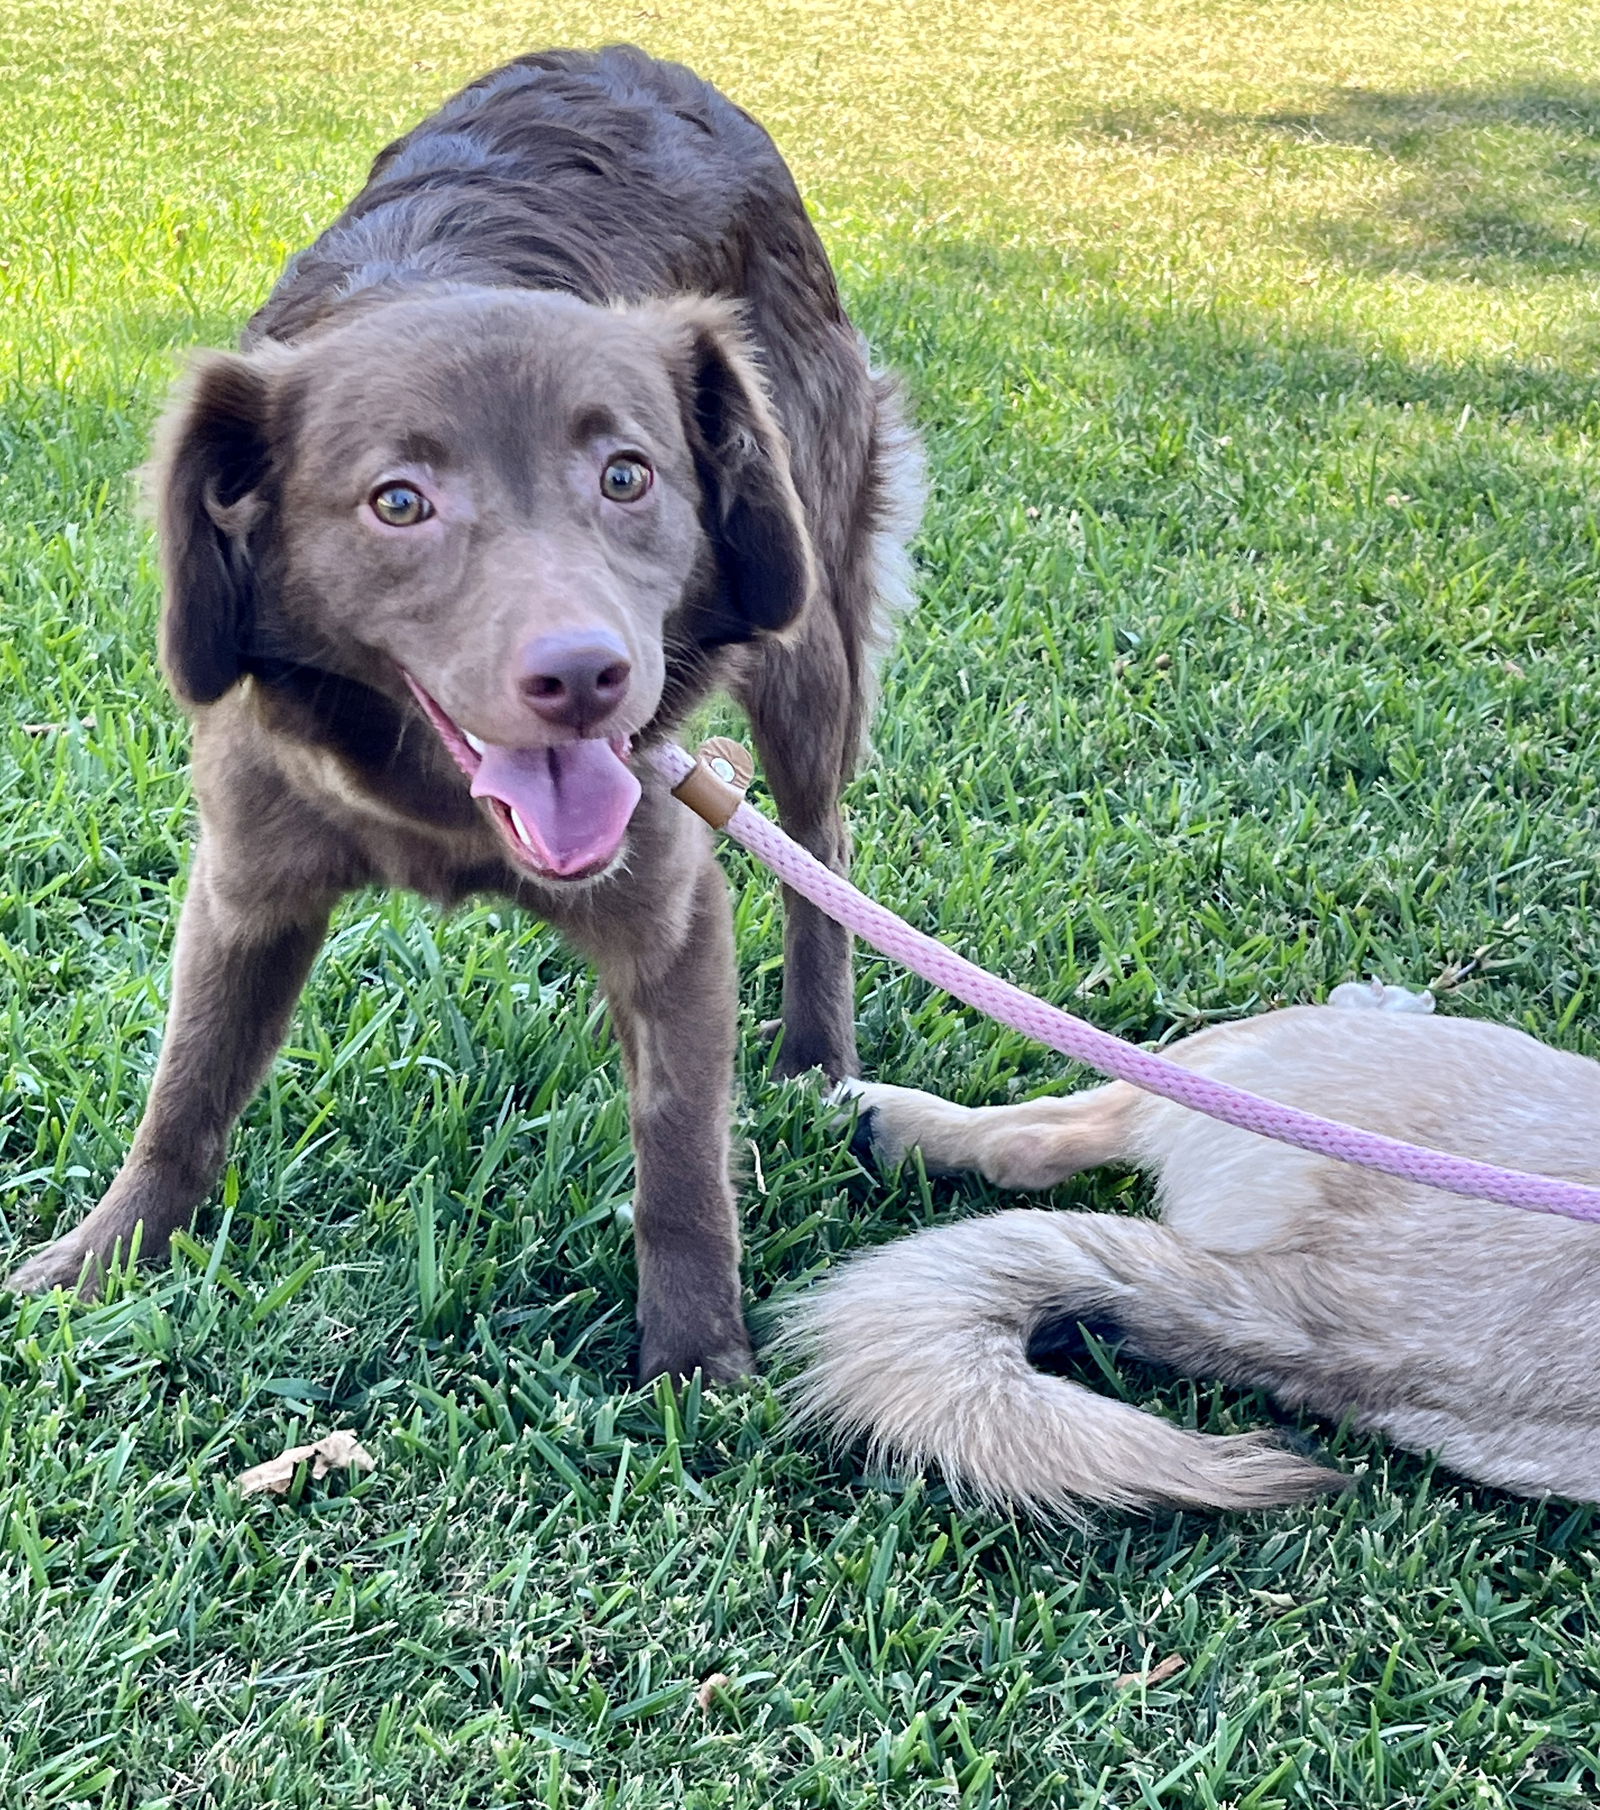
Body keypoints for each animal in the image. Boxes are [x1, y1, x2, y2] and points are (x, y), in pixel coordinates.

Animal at [6, 45, 919, 1382]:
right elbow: (185, 1090)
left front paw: (696, 1365)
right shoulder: (245, 879)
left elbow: (681, 1163)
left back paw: (816, 1056)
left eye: (627, 474)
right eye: (399, 501)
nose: (588, 676)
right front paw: (103, 1262)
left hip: (806, 637)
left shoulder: (669, 898)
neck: (437, 802)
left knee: (821, 851)